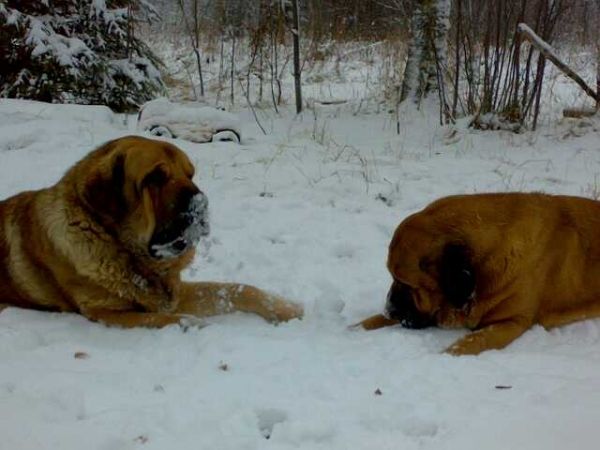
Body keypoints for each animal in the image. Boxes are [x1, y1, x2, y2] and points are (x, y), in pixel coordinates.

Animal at [0, 136, 302, 326]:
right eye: (155, 177)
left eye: (190, 174)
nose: (201, 203)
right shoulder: (105, 311)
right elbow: (154, 317)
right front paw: (188, 323)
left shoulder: (176, 292)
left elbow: (238, 289)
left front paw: (286, 309)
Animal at [358, 193, 600, 356]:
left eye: (405, 282)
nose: (389, 310)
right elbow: (371, 320)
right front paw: (356, 329)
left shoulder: (510, 322)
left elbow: (468, 343)